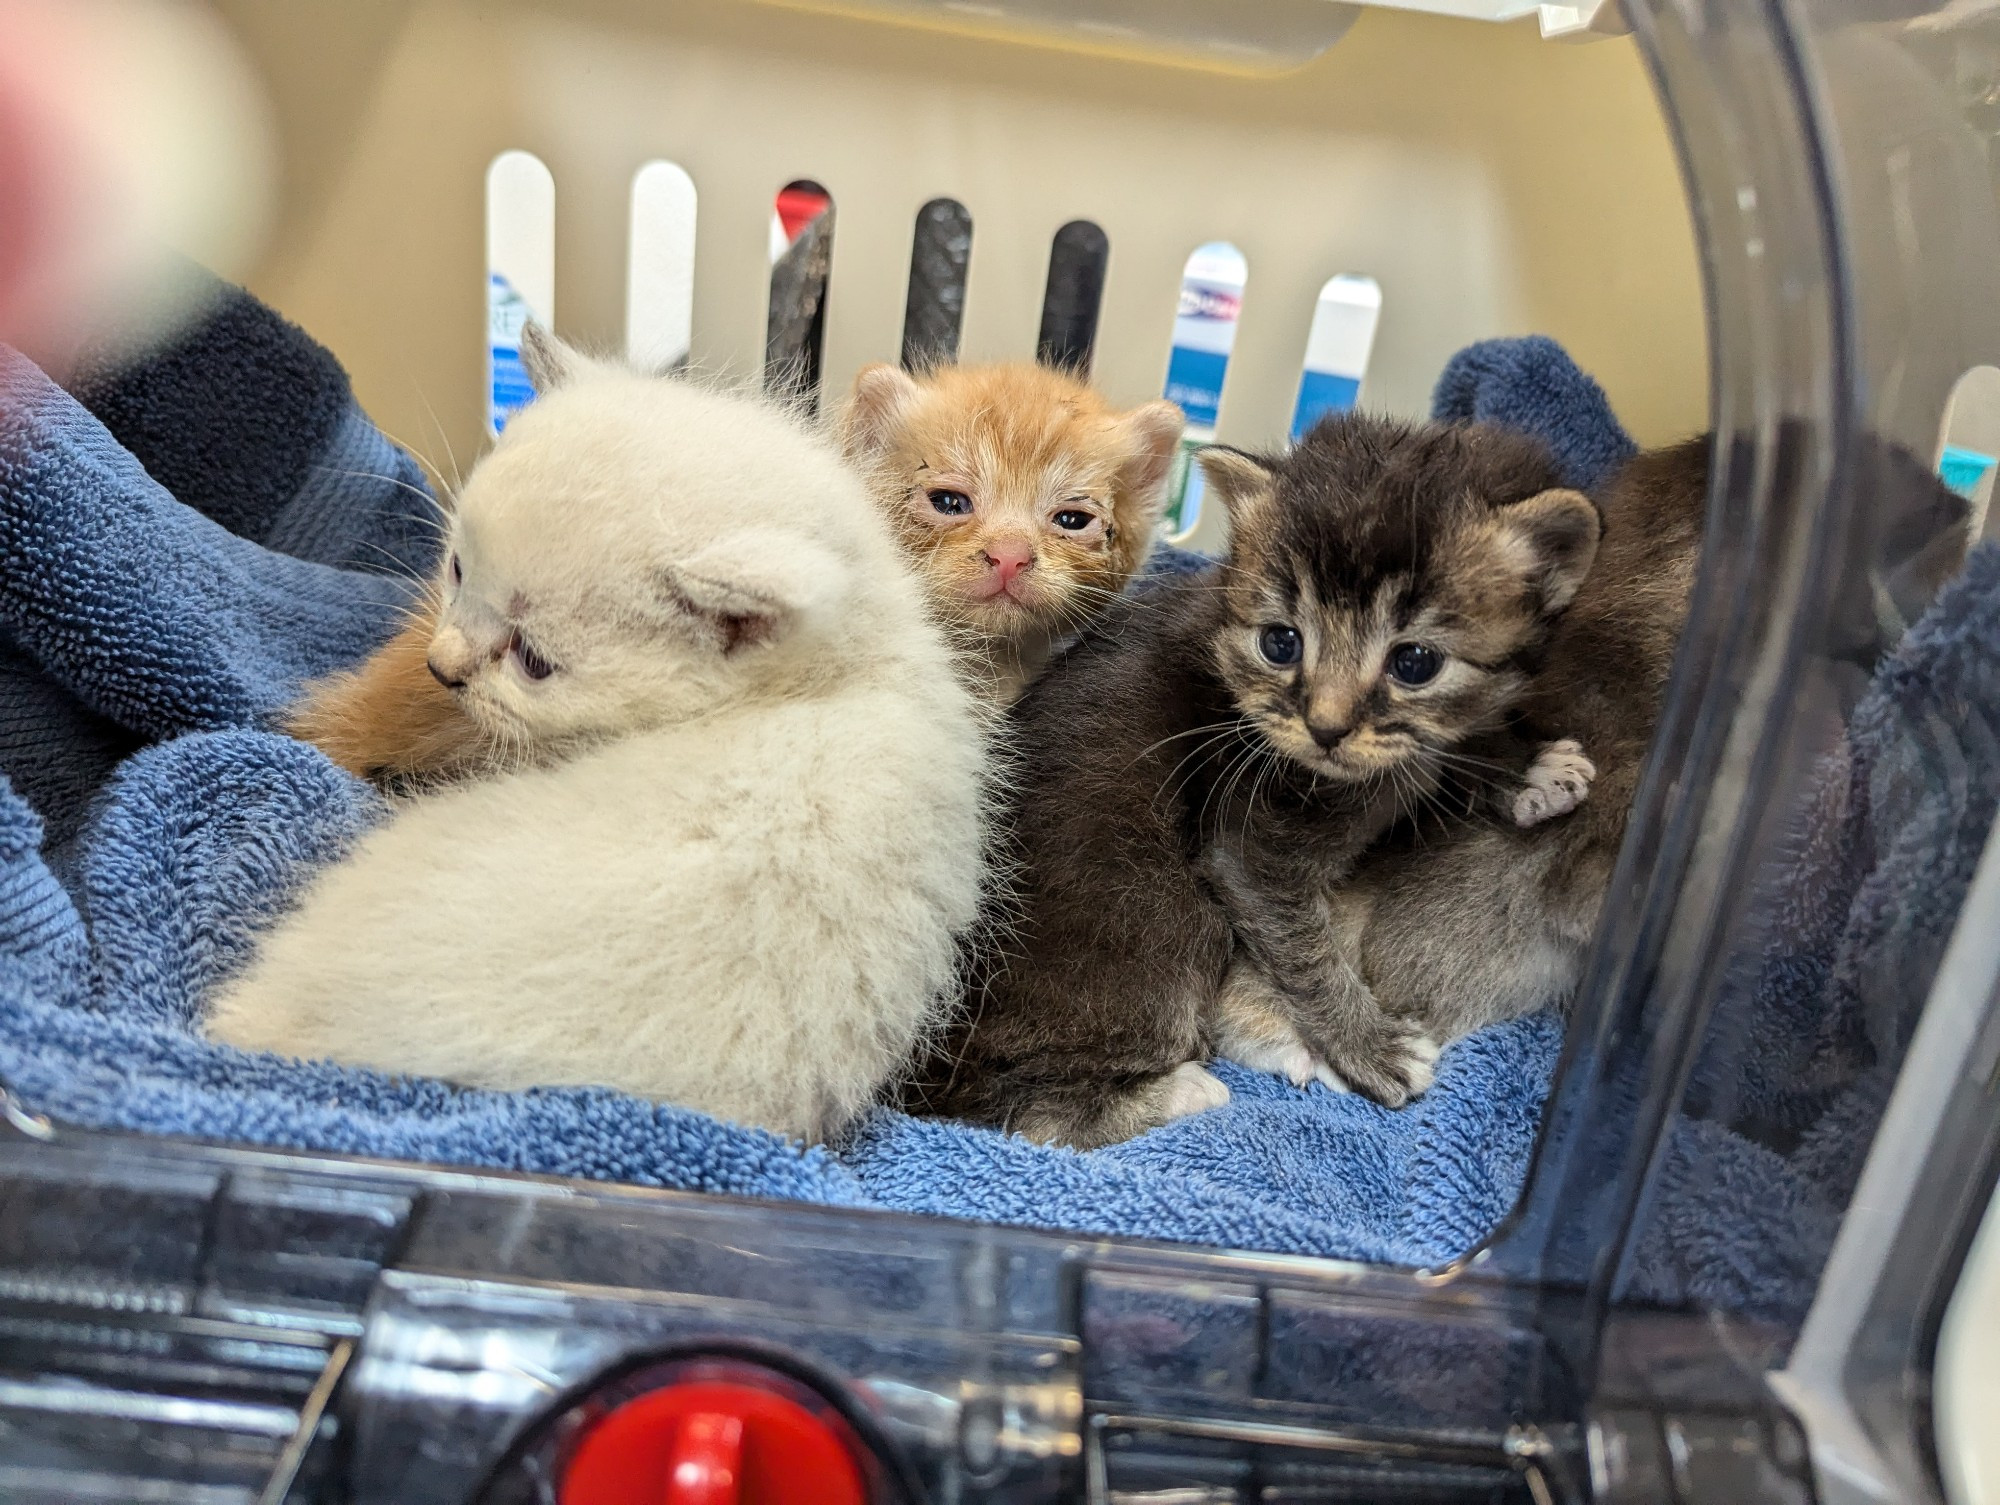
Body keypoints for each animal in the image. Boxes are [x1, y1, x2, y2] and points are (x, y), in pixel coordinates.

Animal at [916, 418, 1600, 1144]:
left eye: (1415, 662)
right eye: (1281, 643)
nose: (1326, 728)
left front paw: (1525, 765)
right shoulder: (1250, 840)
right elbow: (1304, 948)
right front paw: (1372, 1047)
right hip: (1163, 920)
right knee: (1023, 1113)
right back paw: (1181, 1090)